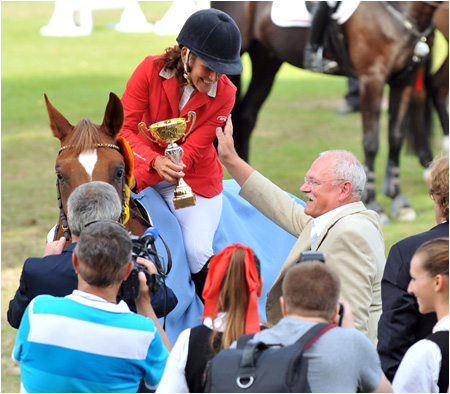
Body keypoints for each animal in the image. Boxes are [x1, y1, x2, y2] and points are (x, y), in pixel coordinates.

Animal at [213, 0, 442, 222]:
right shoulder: (372, 77)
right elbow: (371, 142)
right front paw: (374, 202)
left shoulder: (406, 79)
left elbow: (395, 138)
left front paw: (399, 201)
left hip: (267, 60)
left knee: (246, 117)